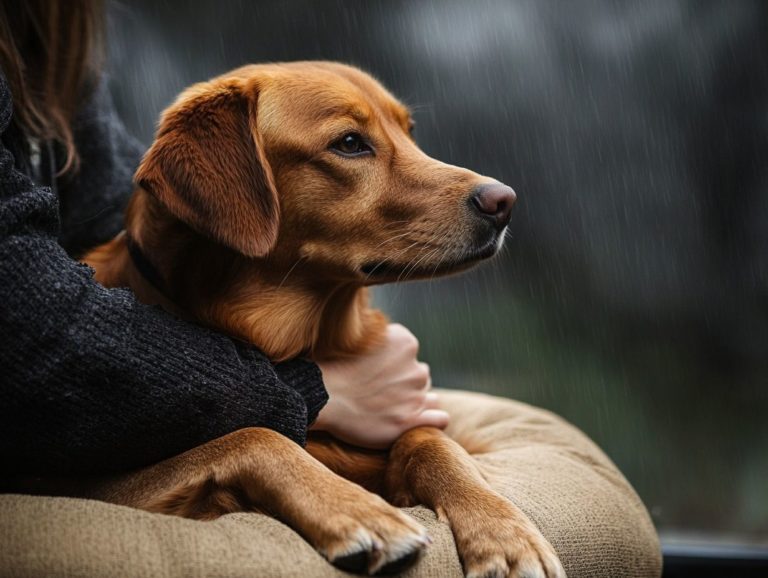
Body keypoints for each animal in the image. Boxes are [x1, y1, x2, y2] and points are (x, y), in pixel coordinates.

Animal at [81, 63, 568, 576]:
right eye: (350, 143)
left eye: (409, 132)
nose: (504, 201)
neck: (306, 340)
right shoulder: (103, 486)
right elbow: (254, 436)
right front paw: (359, 512)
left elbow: (429, 440)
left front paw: (504, 531)